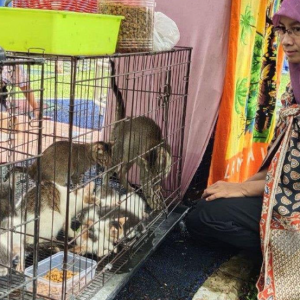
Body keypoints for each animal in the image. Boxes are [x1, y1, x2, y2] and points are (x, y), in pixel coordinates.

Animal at [105, 59, 171, 211]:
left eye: (159, 174)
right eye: (152, 175)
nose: (154, 181)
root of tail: (123, 120)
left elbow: (156, 189)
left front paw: (157, 196)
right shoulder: (144, 175)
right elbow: (148, 190)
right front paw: (154, 203)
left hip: (130, 156)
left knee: (121, 172)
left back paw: (130, 189)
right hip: (118, 154)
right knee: (107, 172)